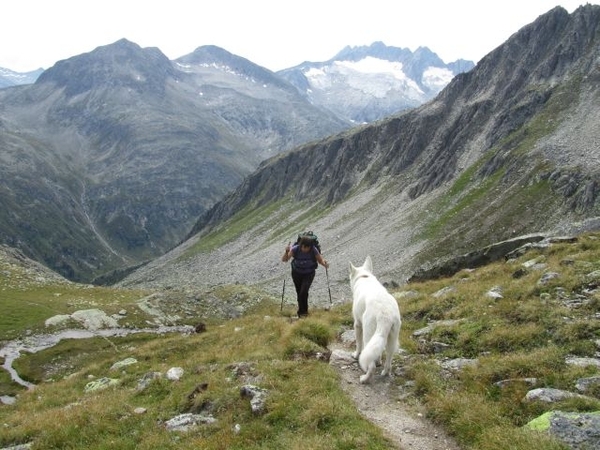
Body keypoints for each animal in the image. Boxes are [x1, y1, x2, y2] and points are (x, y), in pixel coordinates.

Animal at [350, 256, 400, 384]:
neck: (364, 276)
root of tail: (385, 314)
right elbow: (378, 353)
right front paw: (379, 361)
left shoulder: (357, 325)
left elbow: (358, 344)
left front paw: (355, 355)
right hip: (391, 338)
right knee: (388, 360)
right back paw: (385, 373)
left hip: (368, 333)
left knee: (371, 365)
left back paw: (364, 378)